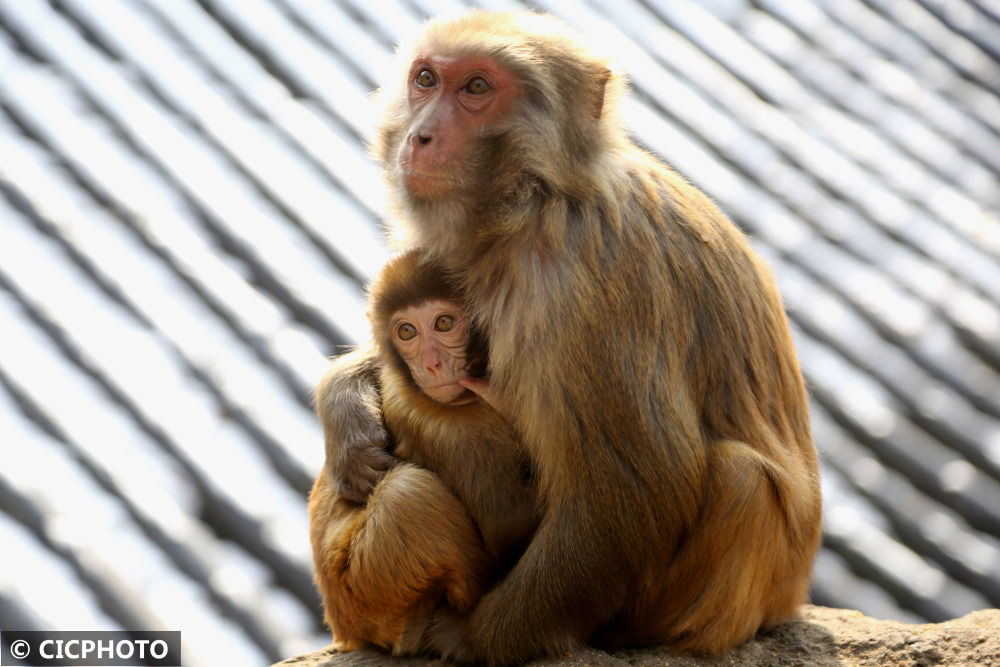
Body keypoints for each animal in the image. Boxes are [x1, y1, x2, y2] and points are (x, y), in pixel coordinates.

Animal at [308, 249, 540, 652]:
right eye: (407, 332)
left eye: (444, 323)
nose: (431, 364)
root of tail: (343, 627)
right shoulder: (460, 432)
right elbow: (510, 528)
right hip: (369, 596)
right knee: (408, 494)